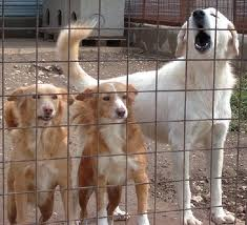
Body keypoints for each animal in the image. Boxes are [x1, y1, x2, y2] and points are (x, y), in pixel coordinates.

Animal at [4, 83, 77, 224]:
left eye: (55, 97)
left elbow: (70, 211)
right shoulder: (21, 183)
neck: (41, 141)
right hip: (11, 205)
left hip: (48, 206)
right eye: (35, 96)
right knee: (13, 219)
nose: (48, 109)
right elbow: (22, 218)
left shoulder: (65, 181)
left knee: (43, 219)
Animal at [70, 82, 150, 225]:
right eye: (106, 98)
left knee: (110, 209)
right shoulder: (100, 177)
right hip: (85, 188)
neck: (114, 129)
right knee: (84, 210)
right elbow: (100, 209)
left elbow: (142, 209)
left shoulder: (141, 176)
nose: (122, 112)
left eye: (124, 97)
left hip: (116, 191)